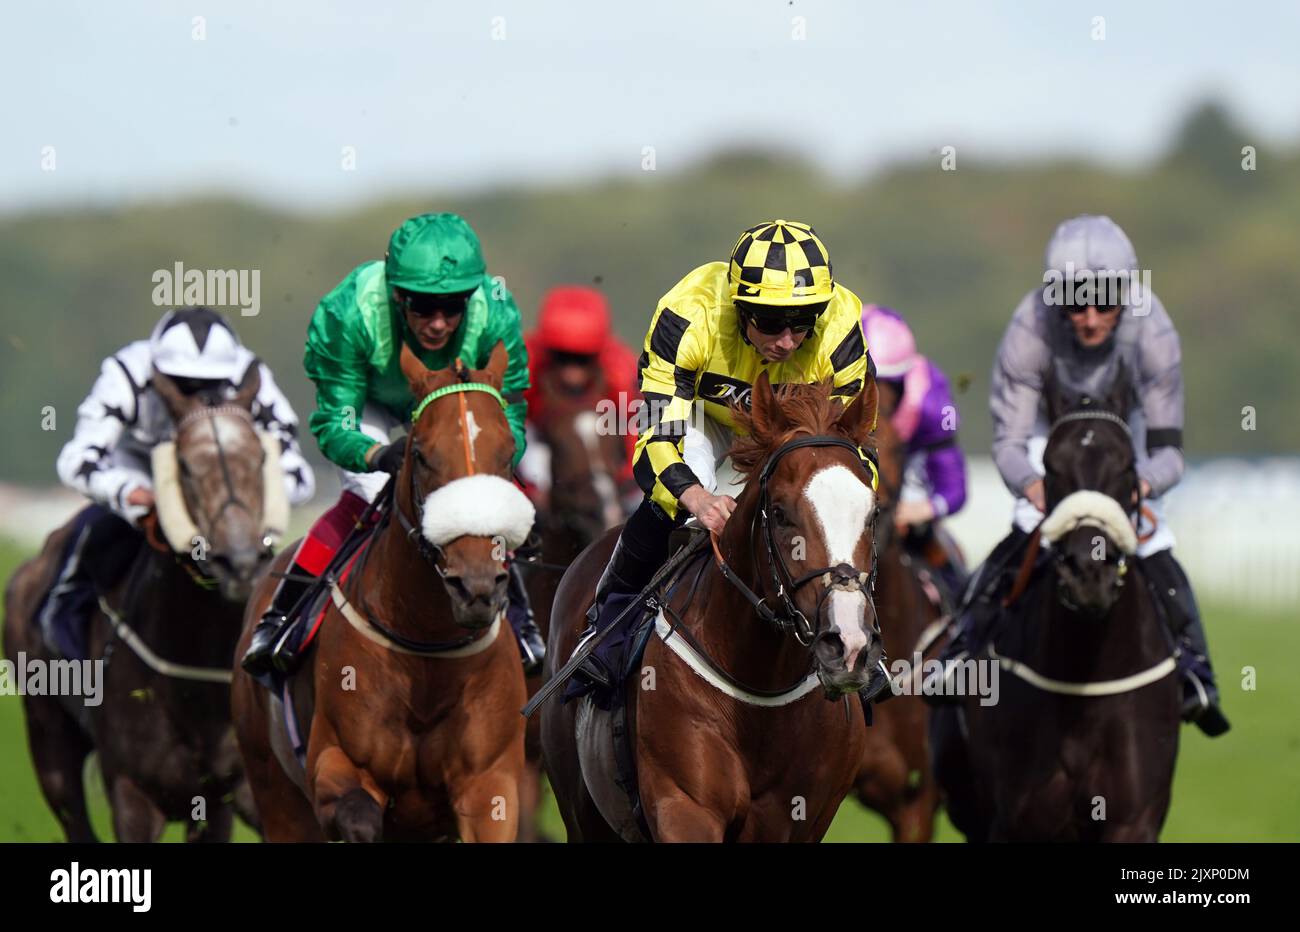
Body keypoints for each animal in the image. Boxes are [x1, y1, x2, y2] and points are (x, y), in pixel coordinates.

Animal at [3, 366, 278, 842]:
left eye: (260, 458)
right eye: (184, 464)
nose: (241, 562)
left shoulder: (232, 792)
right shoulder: (132, 795)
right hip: (49, 742)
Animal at [231, 343, 535, 842]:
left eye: (508, 454)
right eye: (422, 454)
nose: (475, 585)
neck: (427, 648)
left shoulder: (491, 785)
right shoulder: (336, 766)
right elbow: (359, 816)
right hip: (274, 791)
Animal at [543, 371, 889, 842]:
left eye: (873, 515)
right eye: (780, 513)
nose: (848, 644)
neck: (759, 684)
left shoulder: (797, 818)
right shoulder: (683, 806)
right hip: (582, 813)